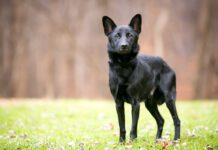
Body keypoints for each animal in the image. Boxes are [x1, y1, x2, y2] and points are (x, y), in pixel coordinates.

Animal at [102, 14, 181, 143]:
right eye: (117, 35)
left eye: (130, 35)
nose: (124, 46)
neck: (123, 66)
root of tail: (166, 64)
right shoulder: (118, 103)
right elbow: (122, 126)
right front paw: (121, 143)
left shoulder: (135, 103)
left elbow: (133, 126)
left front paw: (132, 142)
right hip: (150, 104)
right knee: (161, 120)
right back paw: (157, 140)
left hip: (169, 99)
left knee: (177, 120)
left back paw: (176, 140)